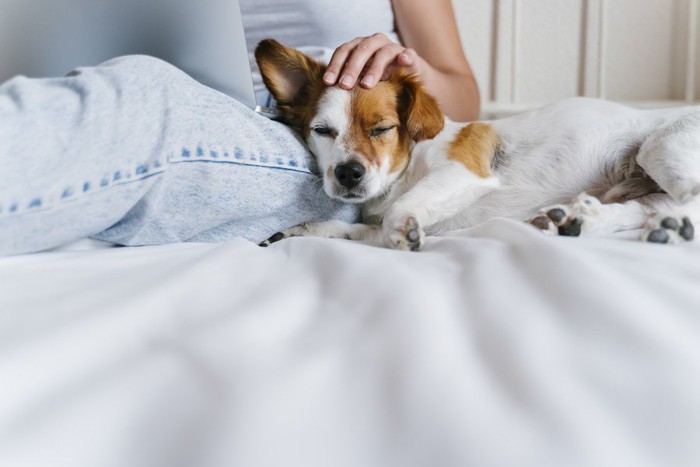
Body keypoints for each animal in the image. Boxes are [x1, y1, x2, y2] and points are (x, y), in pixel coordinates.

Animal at [254, 40, 696, 252]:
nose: (348, 173)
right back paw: (582, 221)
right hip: (647, 185)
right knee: (649, 208)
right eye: (322, 130)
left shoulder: (464, 172)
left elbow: (401, 212)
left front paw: (405, 231)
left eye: (382, 129)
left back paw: (674, 226)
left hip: (662, 147)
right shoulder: (376, 229)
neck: (404, 173)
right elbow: (344, 230)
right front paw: (296, 231)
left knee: (691, 201)